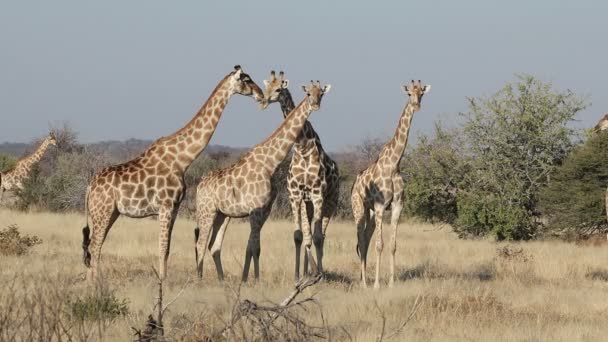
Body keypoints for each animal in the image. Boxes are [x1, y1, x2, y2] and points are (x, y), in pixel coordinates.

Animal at [81, 65, 264, 280]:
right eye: (246, 80)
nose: (261, 94)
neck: (182, 159)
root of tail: (90, 187)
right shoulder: (165, 205)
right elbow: (162, 248)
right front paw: (162, 281)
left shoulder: (175, 208)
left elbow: (167, 249)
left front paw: (164, 279)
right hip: (102, 212)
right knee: (95, 245)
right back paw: (96, 283)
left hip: (110, 213)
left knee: (93, 246)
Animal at [194, 79, 330, 282]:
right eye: (308, 94)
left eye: (321, 93)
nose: (315, 105)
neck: (270, 163)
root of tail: (198, 186)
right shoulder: (255, 211)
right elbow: (253, 247)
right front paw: (251, 280)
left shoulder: (264, 211)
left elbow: (255, 247)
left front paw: (253, 279)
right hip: (206, 211)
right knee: (201, 243)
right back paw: (199, 278)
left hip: (222, 215)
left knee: (214, 245)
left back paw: (221, 278)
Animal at [258, 70, 340, 280]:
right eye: (268, 87)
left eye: (322, 93)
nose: (263, 101)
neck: (302, 146)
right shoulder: (295, 195)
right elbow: (299, 236)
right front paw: (297, 275)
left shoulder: (318, 194)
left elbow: (317, 237)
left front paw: (319, 276)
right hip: (307, 204)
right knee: (308, 234)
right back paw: (307, 271)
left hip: (330, 203)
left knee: (321, 235)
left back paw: (319, 272)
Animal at [350, 80, 430, 288]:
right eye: (409, 93)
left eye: (422, 93)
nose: (416, 105)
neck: (394, 164)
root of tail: (354, 184)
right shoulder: (380, 206)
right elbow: (380, 245)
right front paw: (378, 285)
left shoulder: (397, 205)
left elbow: (393, 246)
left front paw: (392, 283)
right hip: (358, 207)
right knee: (361, 239)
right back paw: (364, 284)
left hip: (369, 212)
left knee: (366, 238)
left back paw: (363, 278)